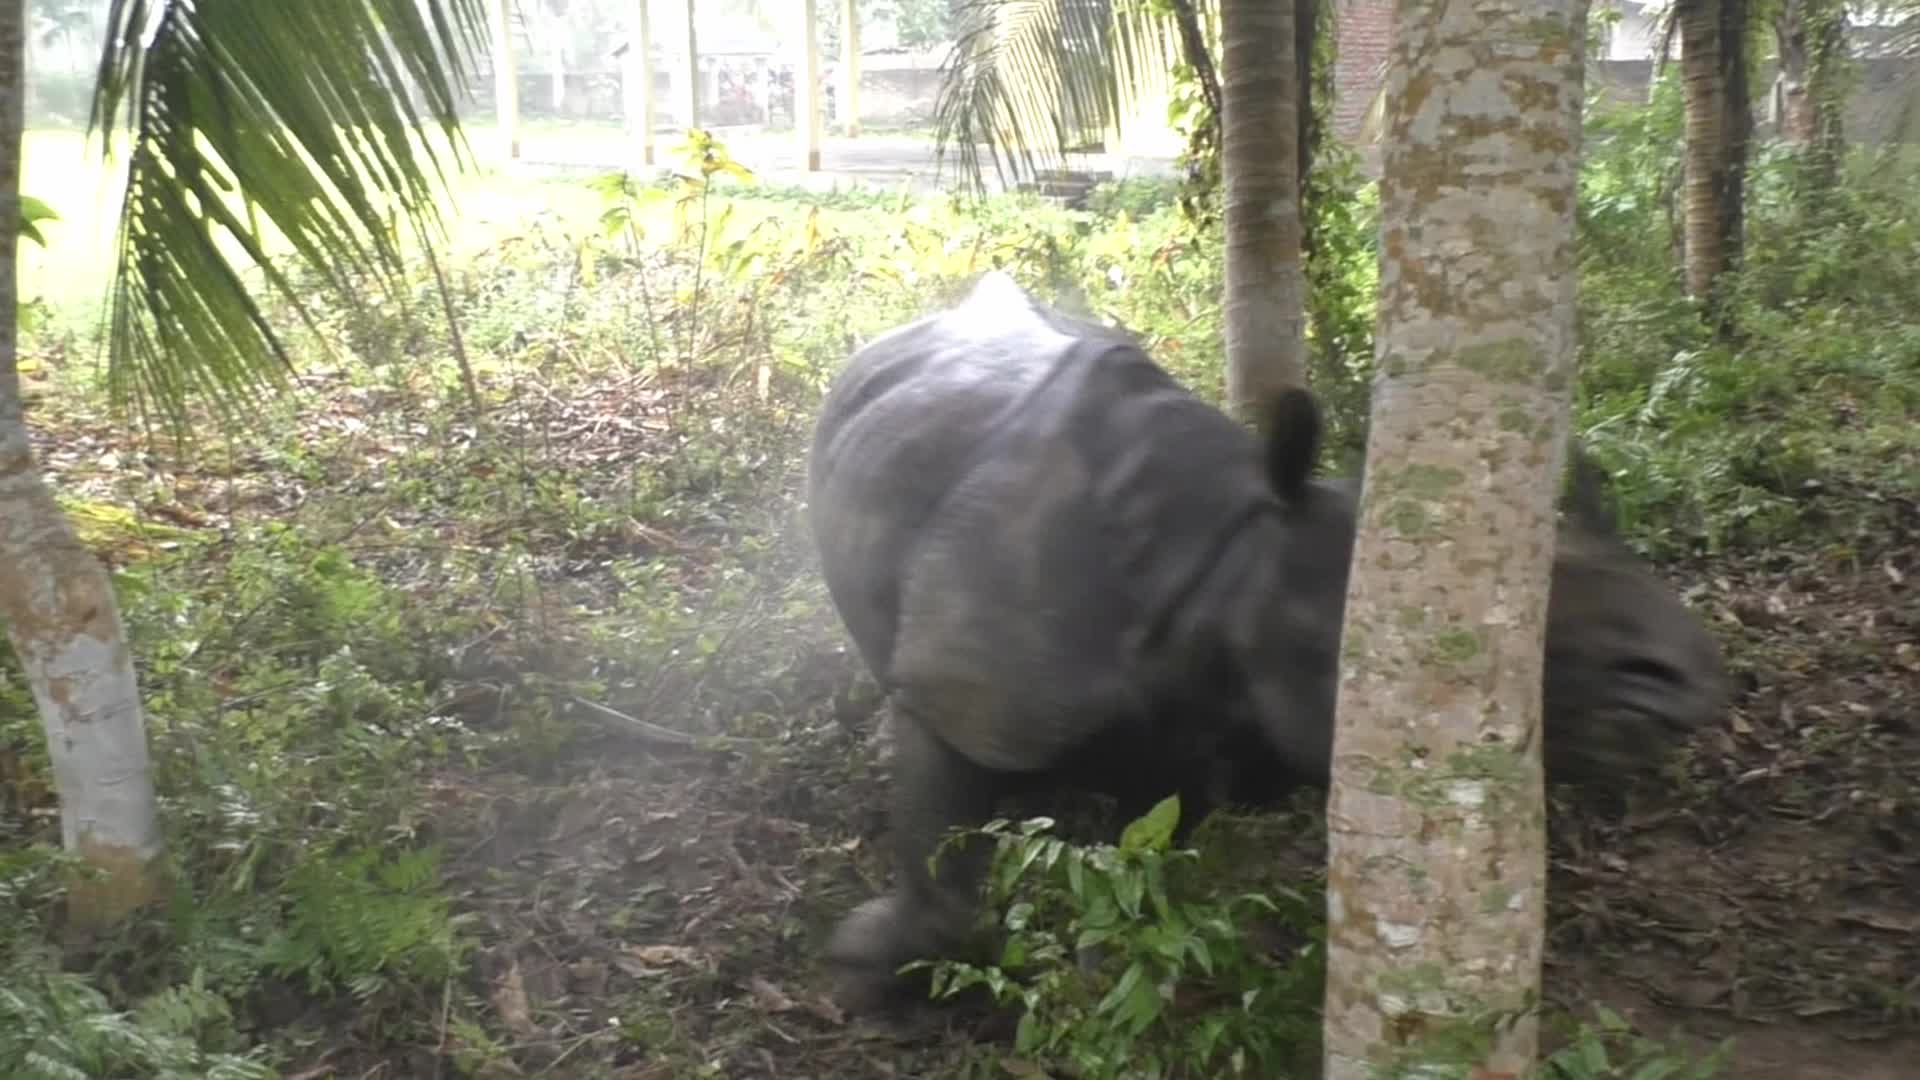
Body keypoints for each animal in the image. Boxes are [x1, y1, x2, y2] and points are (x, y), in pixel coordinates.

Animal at [804, 271, 1728, 1013]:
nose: (1683, 672)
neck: (1229, 568)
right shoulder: (955, 700)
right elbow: (946, 883)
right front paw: (861, 977)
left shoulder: (1190, 737)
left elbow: (1130, 875)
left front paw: (1104, 981)